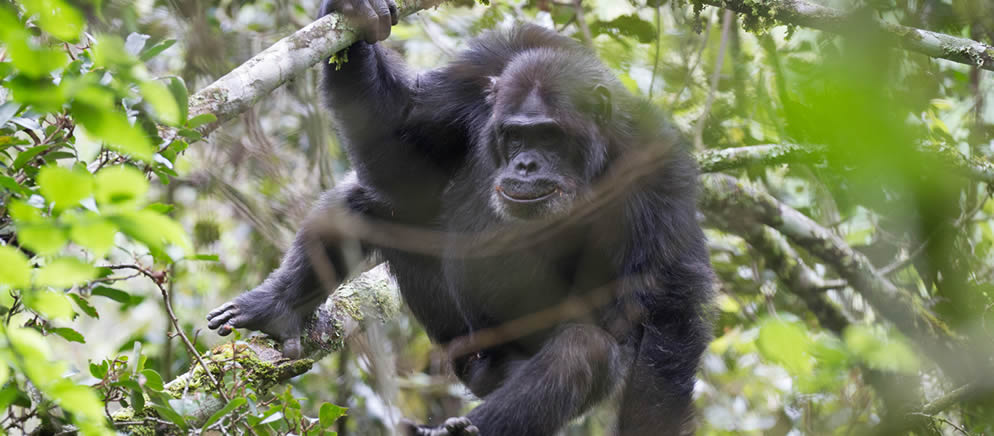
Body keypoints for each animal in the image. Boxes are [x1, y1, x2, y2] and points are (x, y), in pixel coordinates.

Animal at [205, 1, 708, 434]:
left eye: (549, 136)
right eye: (515, 135)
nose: (526, 164)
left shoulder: (661, 169)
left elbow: (670, 311)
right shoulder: (474, 76)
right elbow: (402, 150)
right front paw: (355, 15)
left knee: (584, 353)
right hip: (460, 340)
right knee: (375, 203)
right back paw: (279, 309)